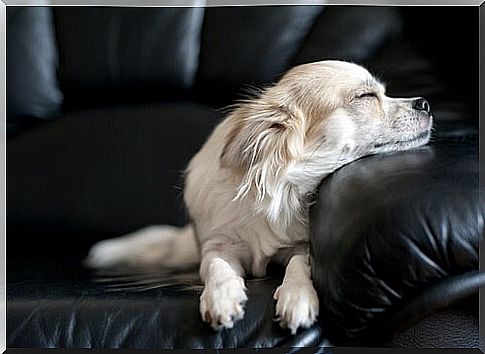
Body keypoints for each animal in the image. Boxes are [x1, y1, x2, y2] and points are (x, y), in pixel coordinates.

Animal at [84, 60, 432, 334]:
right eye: (365, 97)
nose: (425, 103)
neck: (283, 188)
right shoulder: (217, 245)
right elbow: (216, 267)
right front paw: (222, 297)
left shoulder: (300, 245)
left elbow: (299, 263)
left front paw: (297, 296)